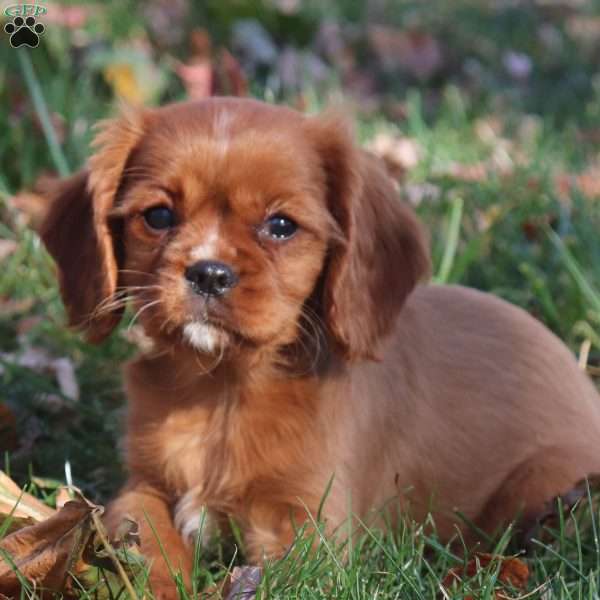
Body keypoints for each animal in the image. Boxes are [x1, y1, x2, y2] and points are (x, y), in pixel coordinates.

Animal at [39, 98, 600, 596]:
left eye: (281, 226)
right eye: (157, 216)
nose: (209, 272)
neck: (222, 387)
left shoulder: (308, 525)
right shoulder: (143, 485)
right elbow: (144, 538)